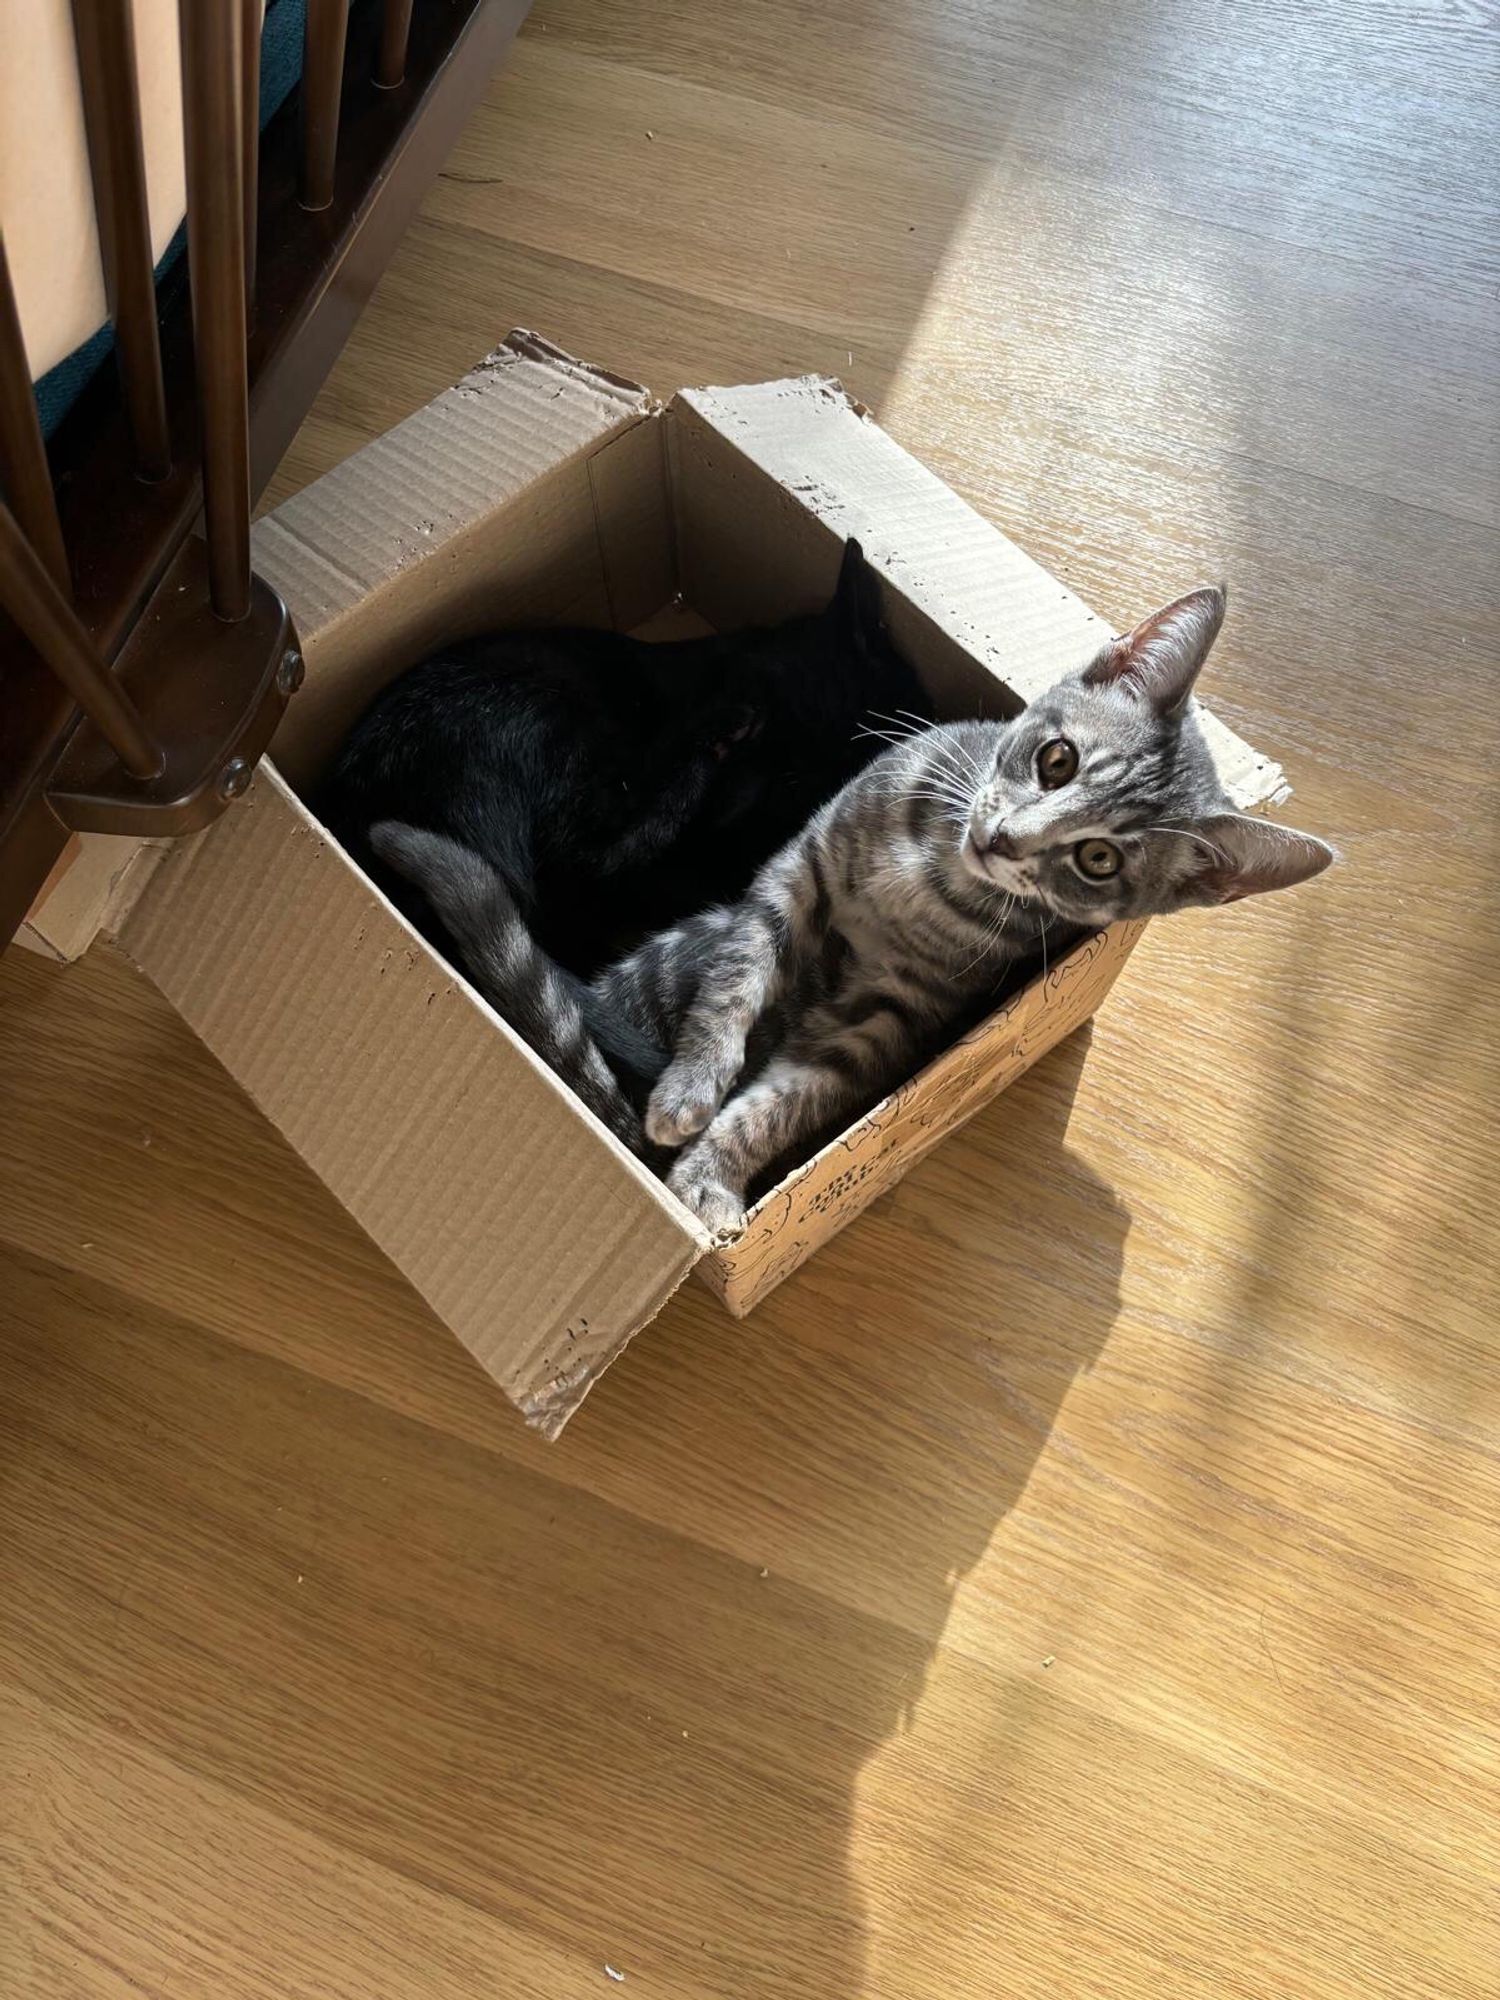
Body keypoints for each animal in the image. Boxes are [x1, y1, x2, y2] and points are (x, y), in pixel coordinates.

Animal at [376, 584, 1336, 1232]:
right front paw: (692, 1085)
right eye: (1056, 760)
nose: (1007, 841)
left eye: (1098, 861)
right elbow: (735, 983)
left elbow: (786, 1101)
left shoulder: (891, 1017)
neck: (928, 873)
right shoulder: (794, 872)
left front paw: (711, 1172)